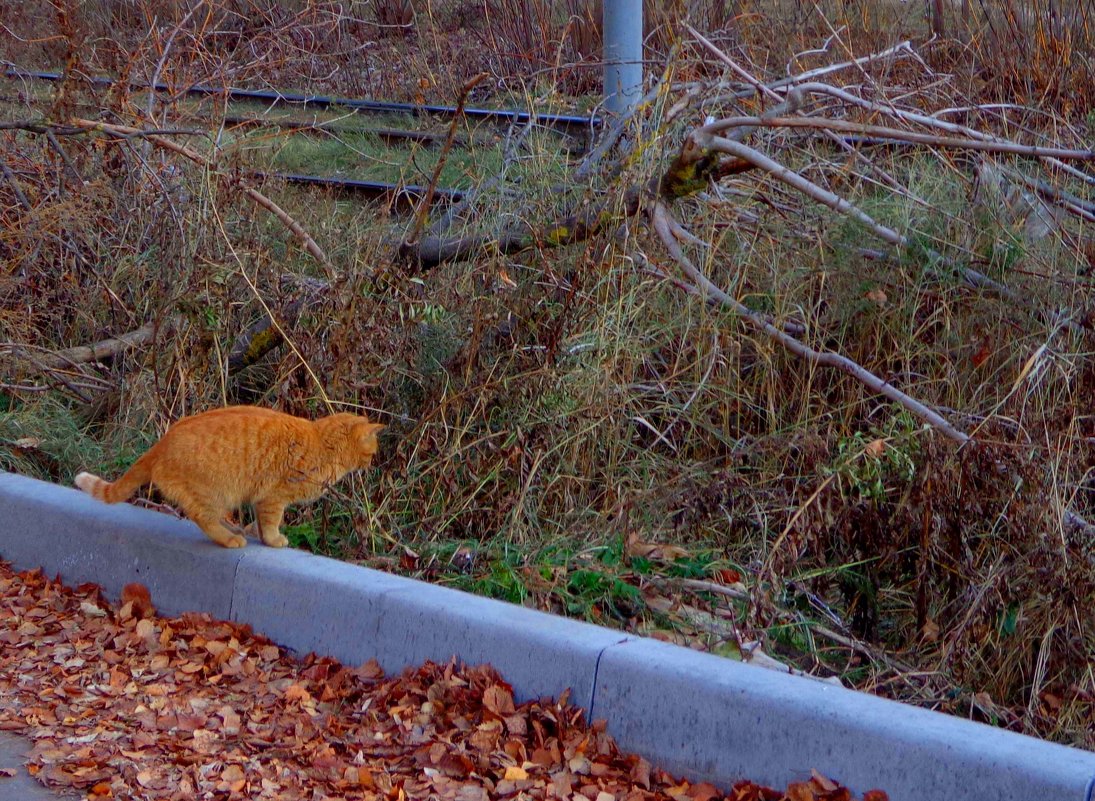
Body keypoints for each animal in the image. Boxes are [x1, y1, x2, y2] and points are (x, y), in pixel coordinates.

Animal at [75, 407, 383, 551]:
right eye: (372, 451)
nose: (372, 463)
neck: (321, 443)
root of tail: (161, 444)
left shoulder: (261, 499)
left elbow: (259, 522)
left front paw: (256, 532)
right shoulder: (274, 498)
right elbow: (271, 523)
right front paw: (273, 539)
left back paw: (236, 530)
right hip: (215, 494)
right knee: (204, 518)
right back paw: (230, 538)